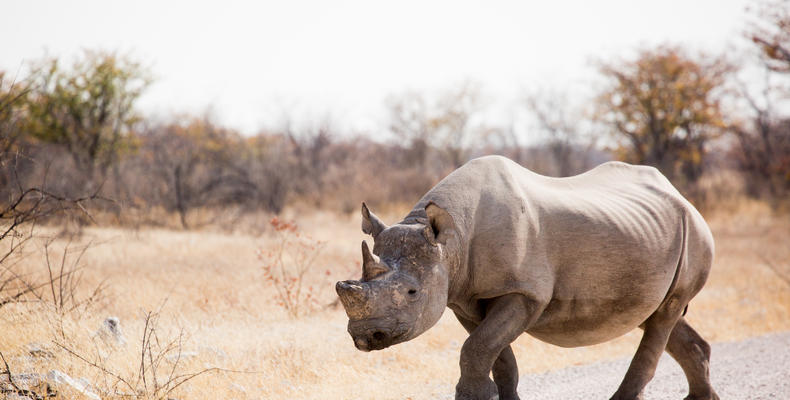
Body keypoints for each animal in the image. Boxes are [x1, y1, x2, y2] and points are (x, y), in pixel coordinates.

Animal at [338, 155, 720, 400]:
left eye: (412, 292)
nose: (366, 336)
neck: (450, 242)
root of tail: (682, 196)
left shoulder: (525, 292)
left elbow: (477, 348)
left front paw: (474, 397)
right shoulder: (464, 298)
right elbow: (495, 354)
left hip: (694, 231)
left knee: (665, 314)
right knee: (657, 314)